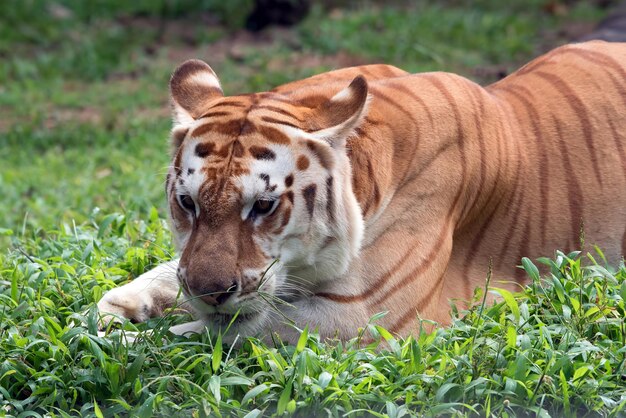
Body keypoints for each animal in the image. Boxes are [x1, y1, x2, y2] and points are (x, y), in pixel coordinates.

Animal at [95, 40, 620, 344]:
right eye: (187, 203)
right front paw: (116, 308)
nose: (210, 293)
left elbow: (198, 337)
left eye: (263, 207)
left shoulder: (363, 318)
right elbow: (169, 272)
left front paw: (122, 340)